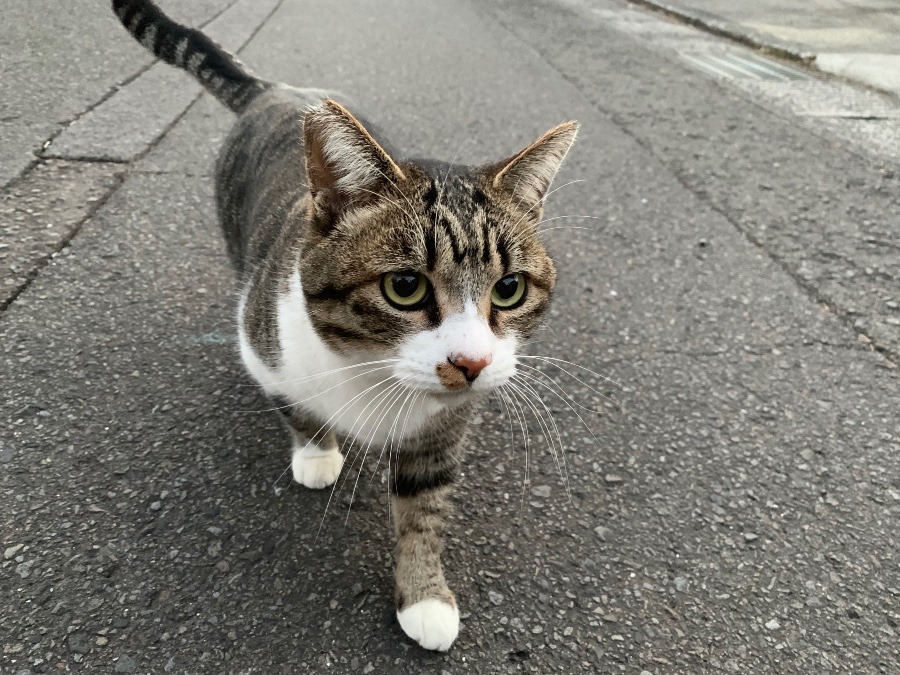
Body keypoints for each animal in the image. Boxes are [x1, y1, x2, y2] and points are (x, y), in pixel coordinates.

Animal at [114, 1, 576, 656]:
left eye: (508, 289)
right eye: (404, 287)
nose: (471, 364)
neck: (374, 373)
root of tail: (276, 89)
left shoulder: (441, 431)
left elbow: (424, 512)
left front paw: (425, 596)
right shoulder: (263, 347)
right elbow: (295, 408)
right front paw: (316, 453)